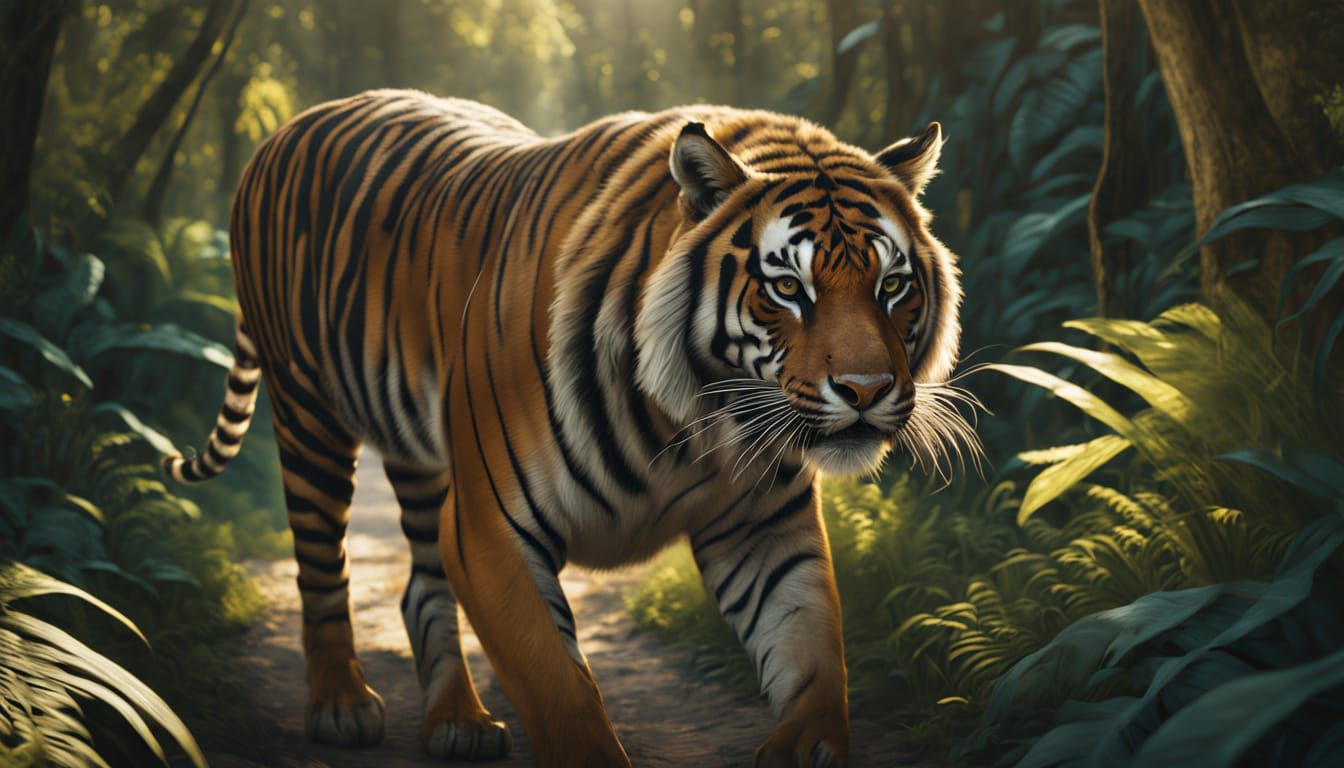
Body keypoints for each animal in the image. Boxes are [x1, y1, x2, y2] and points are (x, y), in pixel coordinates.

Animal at [163, 89, 967, 767]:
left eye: (892, 285)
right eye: (788, 288)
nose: (865, 390)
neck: (695, 425)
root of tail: (288, 126)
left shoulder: (764, 526)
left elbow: (812, 649)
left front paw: (806, 744)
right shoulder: (491, 531)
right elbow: (561, 690)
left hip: (423, 460)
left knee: (418, 586)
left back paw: (458, 721)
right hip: (309, 415)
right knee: (320, 565)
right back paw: (340, 706)